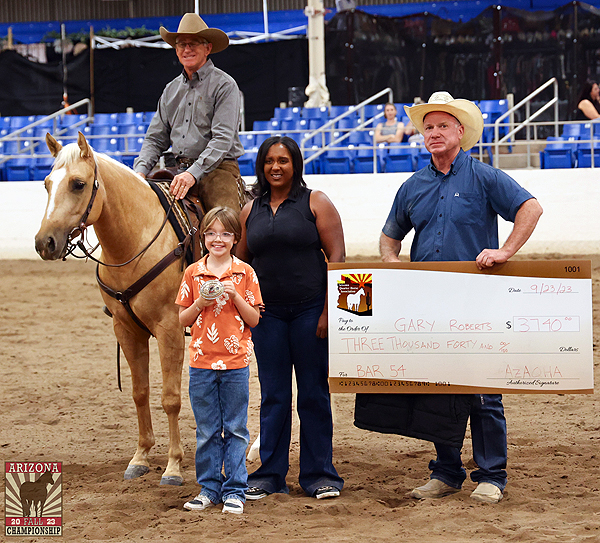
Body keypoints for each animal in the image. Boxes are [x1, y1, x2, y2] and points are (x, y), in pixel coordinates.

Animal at [33, 134, 241, 486]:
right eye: (47, 183)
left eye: (78, 184)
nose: (44, 243)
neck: (135, 241)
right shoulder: (126, 329)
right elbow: (140, 392)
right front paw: (140, 457)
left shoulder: (169, 329)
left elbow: (170, 398)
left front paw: (173, 467)